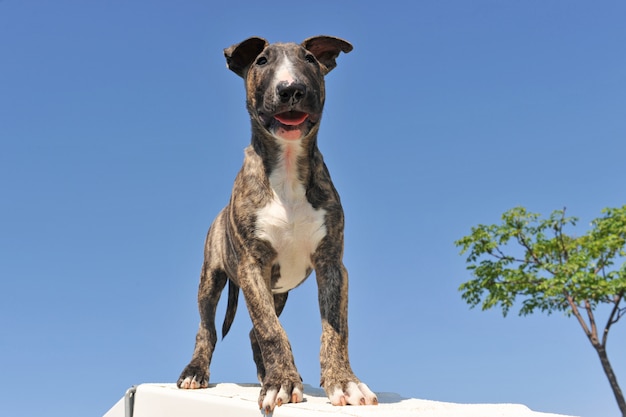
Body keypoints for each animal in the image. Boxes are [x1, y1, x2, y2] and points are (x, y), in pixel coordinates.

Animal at [176, 35, 376, 412]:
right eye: (262, 60)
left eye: (310, 59)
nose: (291, 89)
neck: (286, 167)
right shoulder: (252, 265)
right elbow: (270, 329)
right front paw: (281, 382)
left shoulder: (331, 264)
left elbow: (335, 329)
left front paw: (344, 382)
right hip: (212, 277)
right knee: (207, 328)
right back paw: (196, 371)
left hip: (278, 289)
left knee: (254, 330)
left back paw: (267, 373)